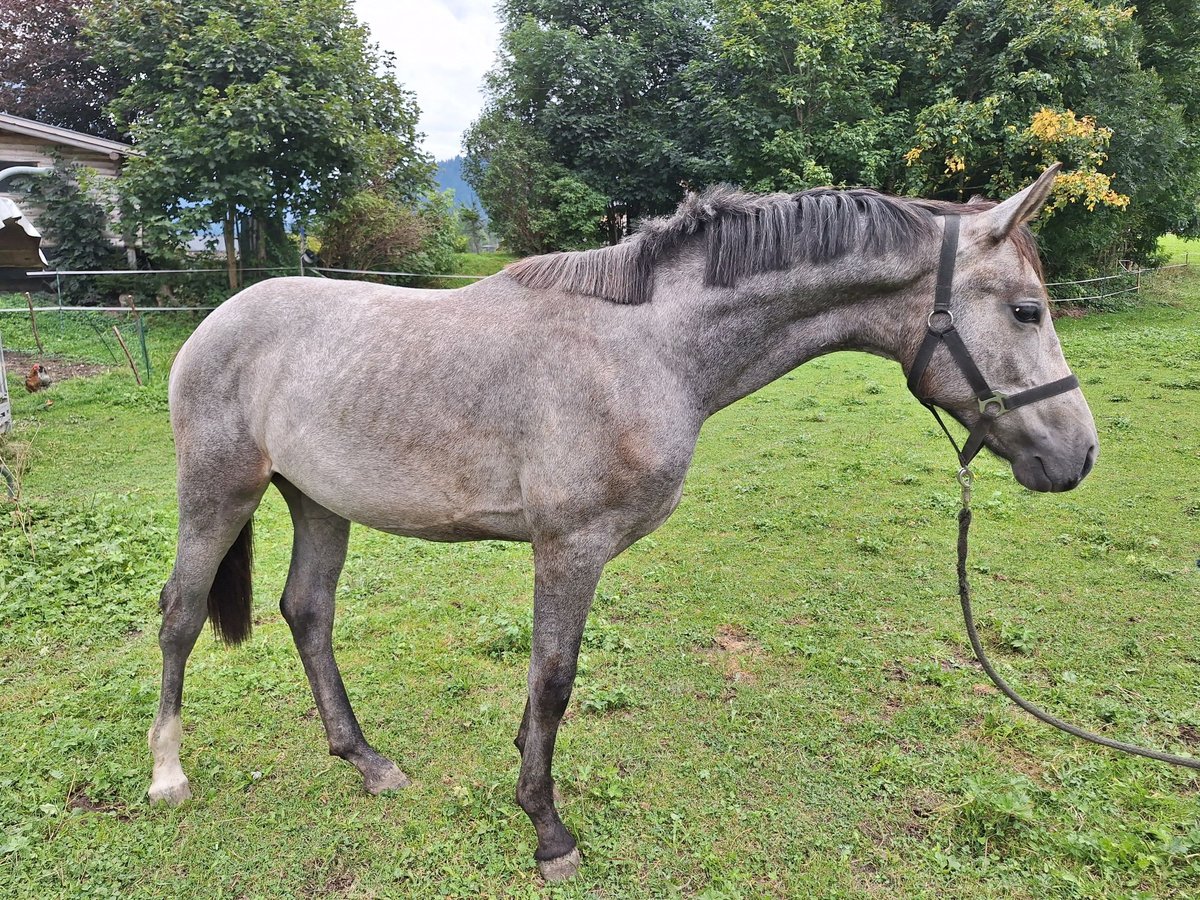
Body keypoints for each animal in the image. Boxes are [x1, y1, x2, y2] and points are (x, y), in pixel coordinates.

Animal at [150, 168, 1099, 883]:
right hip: (218, 492)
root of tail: (216, 322)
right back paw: (167, 772)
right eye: (1027, 310)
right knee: (181, 615)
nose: (1078, 454)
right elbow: (553, 682)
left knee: (307, 612)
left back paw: (366, 760)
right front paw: (547, 831)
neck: (648, 347)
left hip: (318, 501)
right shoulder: (570, 546)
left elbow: (544, 683)